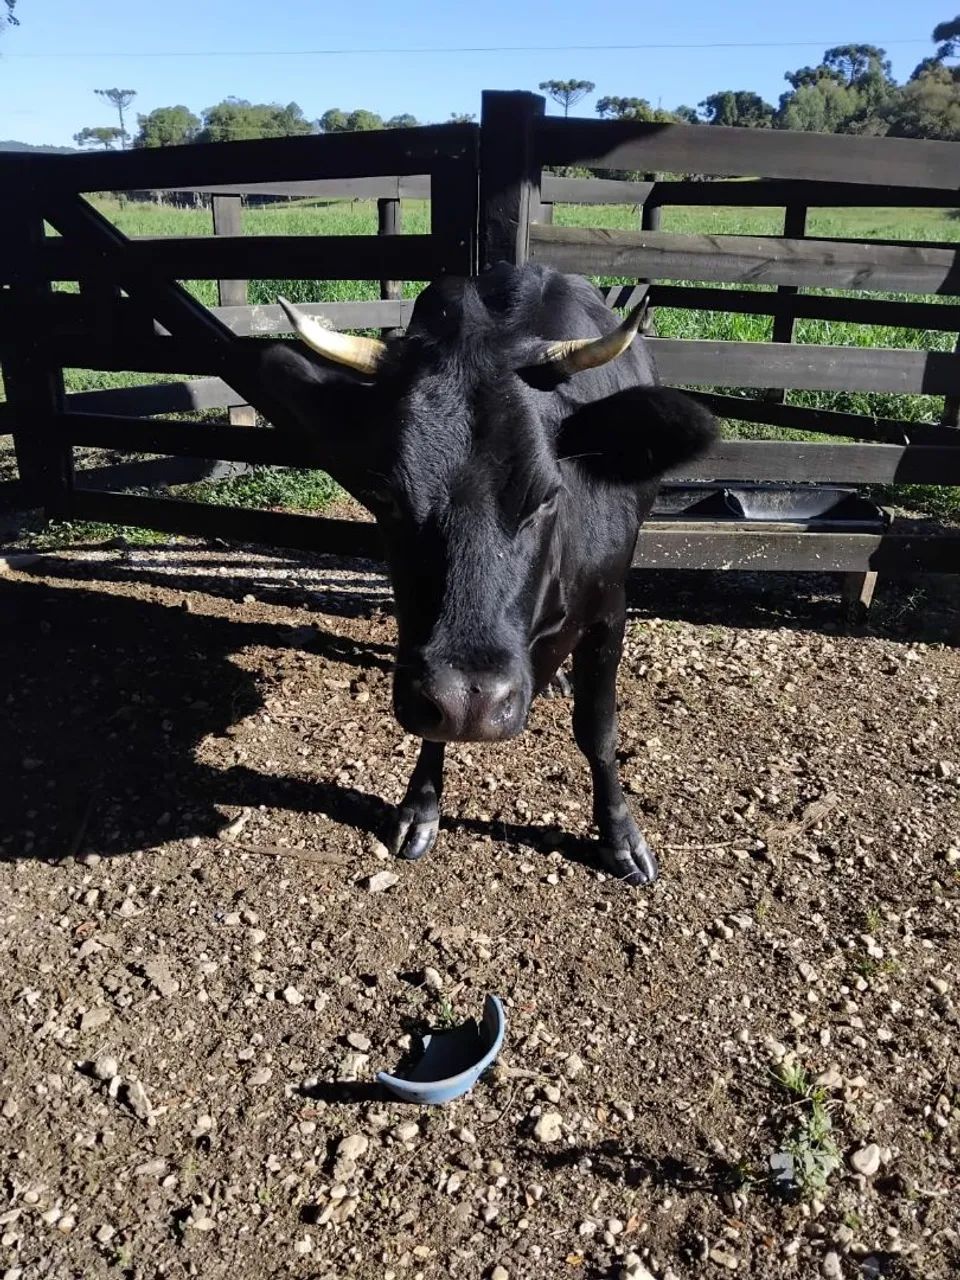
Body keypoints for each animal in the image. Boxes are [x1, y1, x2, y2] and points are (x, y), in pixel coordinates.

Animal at [258, 263, 717, 886]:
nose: (469, 702)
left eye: (548, 496)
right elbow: (428, 728)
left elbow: (598, 730)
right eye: (388, 497)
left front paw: (620, 836)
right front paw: (421, 808)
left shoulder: (611, 608)